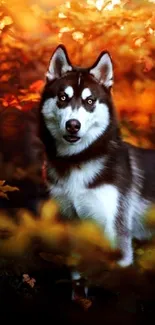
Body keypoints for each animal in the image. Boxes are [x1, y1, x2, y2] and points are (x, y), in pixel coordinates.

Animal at [38, 43, 155, 284]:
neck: (79, 160)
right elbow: (77, 277)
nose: (73, 125)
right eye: (63, 97)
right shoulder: (73, 229)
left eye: (90, 101)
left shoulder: (117, 238)